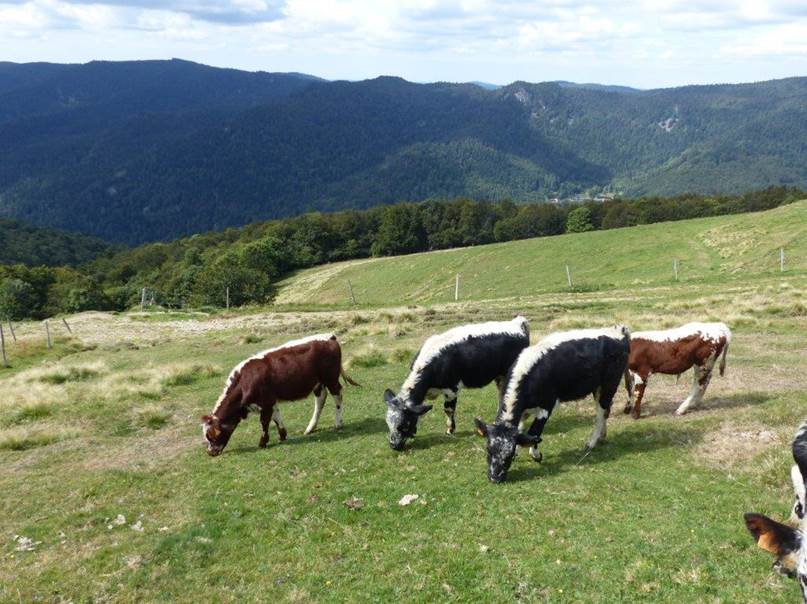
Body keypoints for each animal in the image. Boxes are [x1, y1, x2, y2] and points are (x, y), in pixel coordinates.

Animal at [201, 332, 356, 456]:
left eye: (211, 436)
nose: (210, 452)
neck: (244, 381)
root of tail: (330, 336)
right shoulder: (270, 401)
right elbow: (276, 418)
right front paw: (282, 435)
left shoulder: (265, 403)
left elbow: (264, 422)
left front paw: (262, 442)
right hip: (318, 383)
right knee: (320, 400)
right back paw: (310, 428)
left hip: (331, 379)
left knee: (338, 396)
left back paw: (338, 423)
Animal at [384, 316, 532, 448]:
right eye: (388, 423)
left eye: (403, 424)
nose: (393, 445)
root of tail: (517, 322)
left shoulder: (451, 389)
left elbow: (448, 410)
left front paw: (450, 430)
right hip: (499, 377)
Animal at [474, 328, 632, 484]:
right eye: (488, 449)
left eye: (509, 453)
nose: (494, 478)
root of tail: (620, 331)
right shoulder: (524, 411)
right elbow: (521, 430)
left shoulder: (547, 405)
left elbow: (535, 431)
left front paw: (535, 455)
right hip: (597, 388)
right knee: (606, 411)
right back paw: (602, 437)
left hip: (609, 384)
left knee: (600, 413)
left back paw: (591, 442)